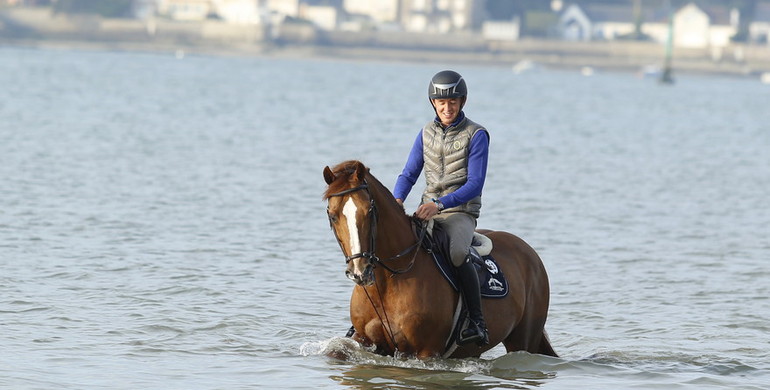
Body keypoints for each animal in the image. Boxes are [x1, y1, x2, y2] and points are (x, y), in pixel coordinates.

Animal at [320, 161, 556, 360]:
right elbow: (338, 351)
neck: (390, 279)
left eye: (369, 211)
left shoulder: (427, 351)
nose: (359, 271)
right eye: (332, 215)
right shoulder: (366, 341)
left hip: (524, 339)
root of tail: (530, 253)